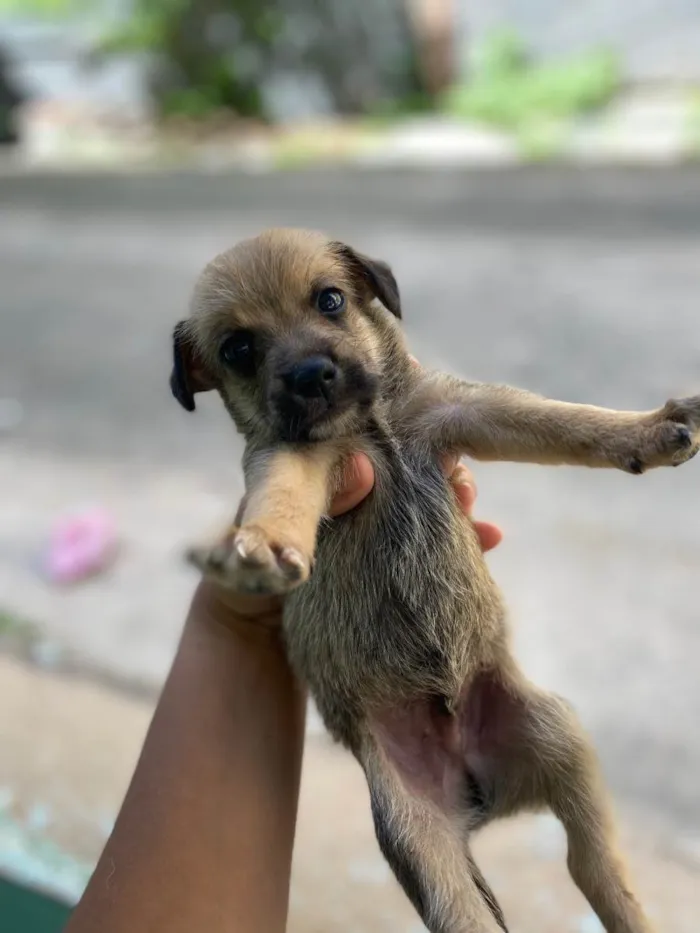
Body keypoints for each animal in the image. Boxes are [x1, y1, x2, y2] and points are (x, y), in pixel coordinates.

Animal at [171, 229, 700, 932]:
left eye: (330, 300)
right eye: (238, 349)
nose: (311, 375)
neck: (372, 426)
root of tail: (476, 788)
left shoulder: (466, 408)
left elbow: (565, 420)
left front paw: (651, 430)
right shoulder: (294, 455)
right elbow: (282, 493)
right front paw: (261, 545)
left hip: (560, 740)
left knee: (598, 869)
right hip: (421, 840)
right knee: (481, 909)